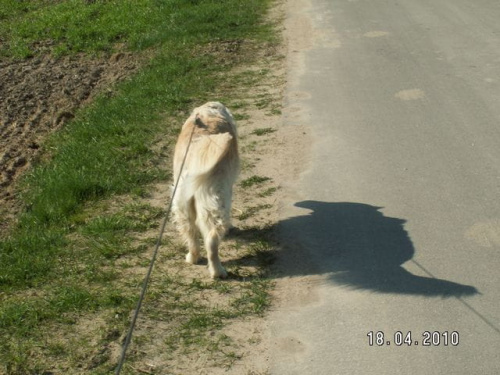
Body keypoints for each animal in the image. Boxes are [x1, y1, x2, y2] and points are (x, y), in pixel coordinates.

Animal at [173, 103, 239, 280]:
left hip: (182, 206)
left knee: (191, 234)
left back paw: (192, 258)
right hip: (214, 204)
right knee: (211, 240)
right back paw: (218, 272)